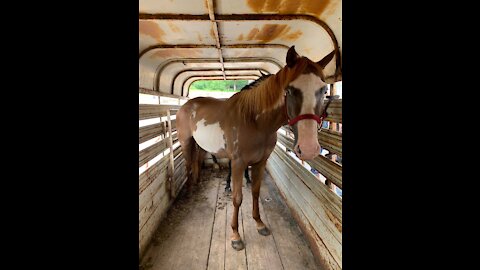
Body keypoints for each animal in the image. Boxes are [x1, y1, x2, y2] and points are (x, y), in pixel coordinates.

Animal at [174, 46, 336, 251]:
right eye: (290, 90)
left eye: (323, 89)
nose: (308, 148)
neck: (254, 121)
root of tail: (186, 105)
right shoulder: (237, 163)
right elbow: (237, 198)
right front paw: (235, 235)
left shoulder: (260, 162)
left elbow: (256, 192)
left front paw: (259, 223)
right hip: (186, 143)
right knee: (188, 165)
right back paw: (189, 192)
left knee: (196, 161)